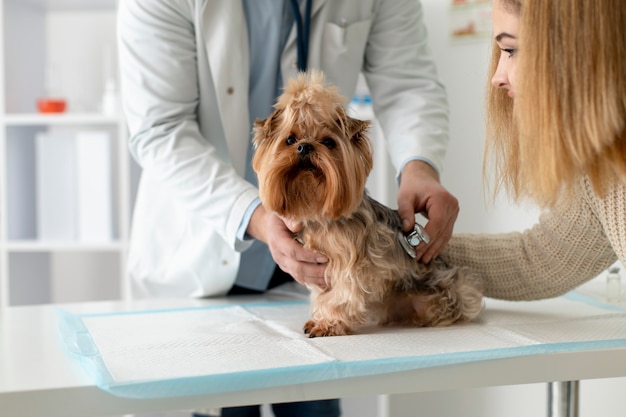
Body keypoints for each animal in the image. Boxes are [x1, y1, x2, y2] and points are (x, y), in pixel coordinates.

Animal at [250, 70, 482, 338]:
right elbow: (324, 295)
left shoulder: (348, 265)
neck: (322, 216)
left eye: (328, 142)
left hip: (438, 290)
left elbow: (341, 295)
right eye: (290, 139)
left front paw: (328, 323)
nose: (304, 146)